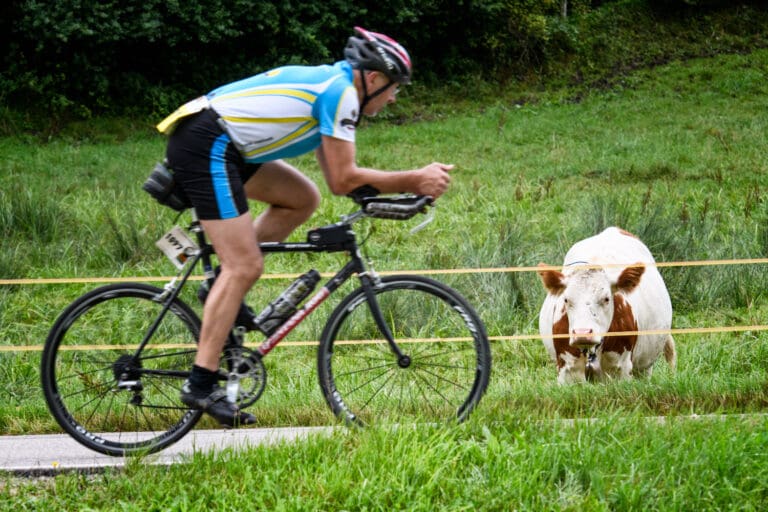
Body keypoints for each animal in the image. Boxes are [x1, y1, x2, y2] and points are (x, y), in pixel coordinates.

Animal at [536, 228, 676, 384]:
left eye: (606, 299)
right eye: (566, 300)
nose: (582, 333)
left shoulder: (622, 369)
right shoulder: (566, 370)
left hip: (645, 367)